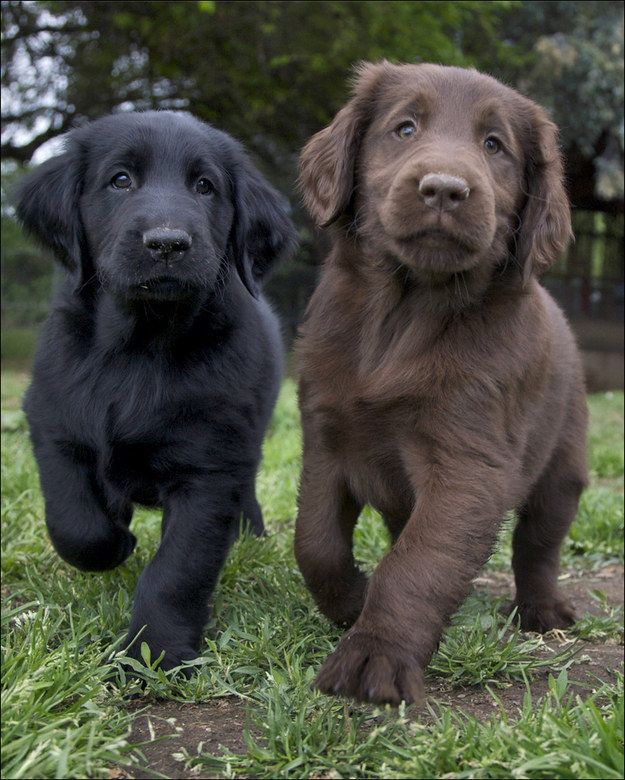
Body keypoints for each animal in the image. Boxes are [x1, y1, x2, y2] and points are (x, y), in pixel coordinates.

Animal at [17, 109, 294, 672]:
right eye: (120, 180)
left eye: (205, 186)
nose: (167, 243)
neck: (140, 347)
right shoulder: (53, 425)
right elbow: (75, 523)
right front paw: (116, 539)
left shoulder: (209, 471)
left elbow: (177, 570)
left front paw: (153, 653)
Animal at [292, 61, 584, 708]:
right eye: (405, 128)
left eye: (494, 146)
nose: (445, 188)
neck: (406, 310)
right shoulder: (324, 436)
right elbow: (315, 541)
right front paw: (350, 600)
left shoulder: (468, 462)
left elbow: (419, 562)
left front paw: (376, 653)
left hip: (563, 466)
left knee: (539, 545)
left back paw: (543, 610)